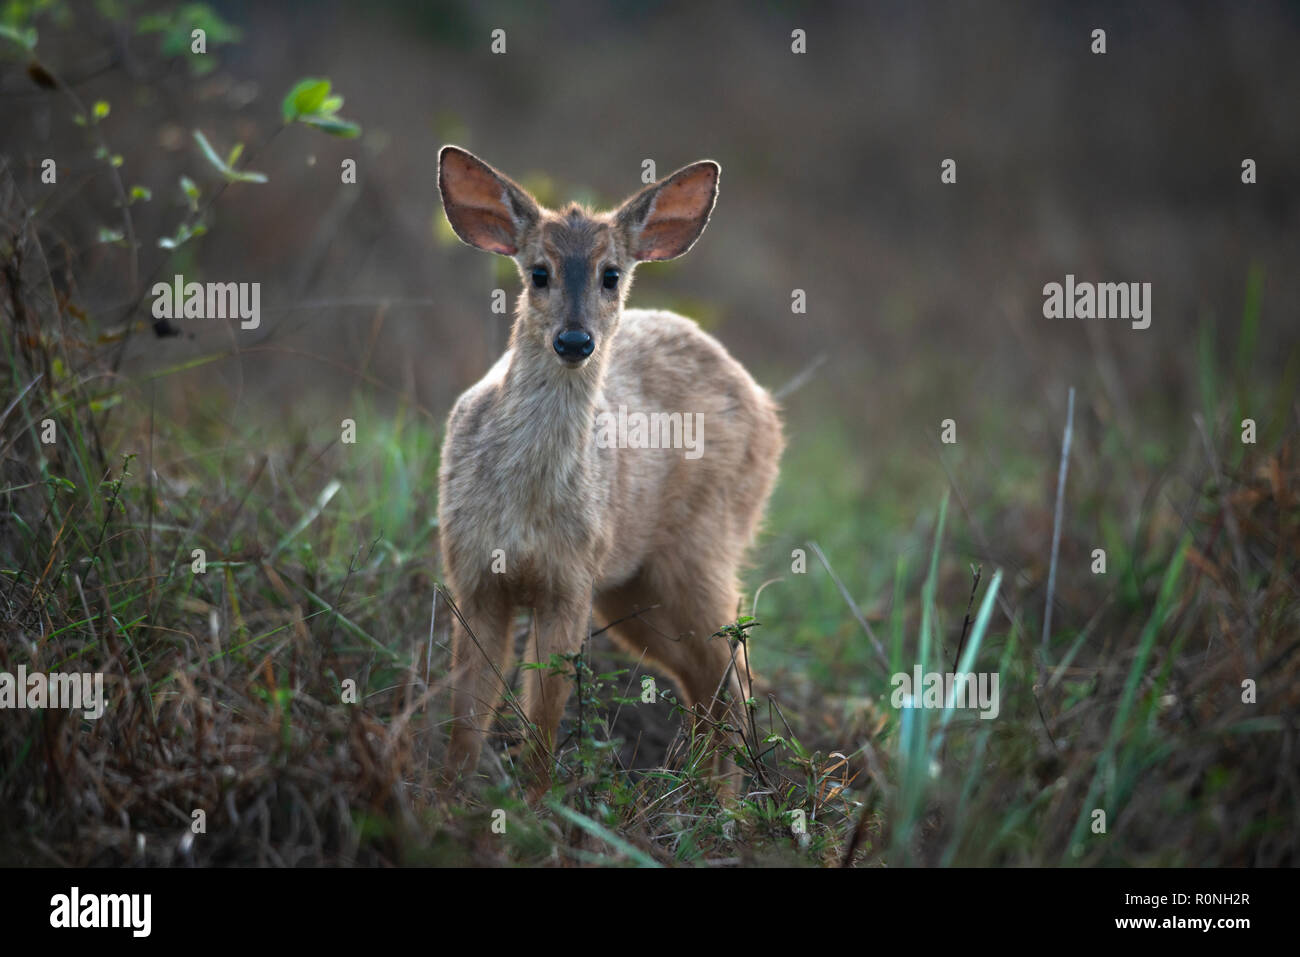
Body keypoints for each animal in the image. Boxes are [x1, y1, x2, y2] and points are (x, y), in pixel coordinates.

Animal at [436, 145, 780, 790]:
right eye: (538, 271)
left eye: (611, 274)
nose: (575, 341)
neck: (525, 502)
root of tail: (768, 408)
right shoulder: (472, 571)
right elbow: (467, 712)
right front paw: (443, 797)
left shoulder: (571, 579)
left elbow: (544, 715)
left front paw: (535, 803)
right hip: (630, 589)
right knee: (705, 681)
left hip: (702, 548)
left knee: (734, 676)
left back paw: (719, 801)